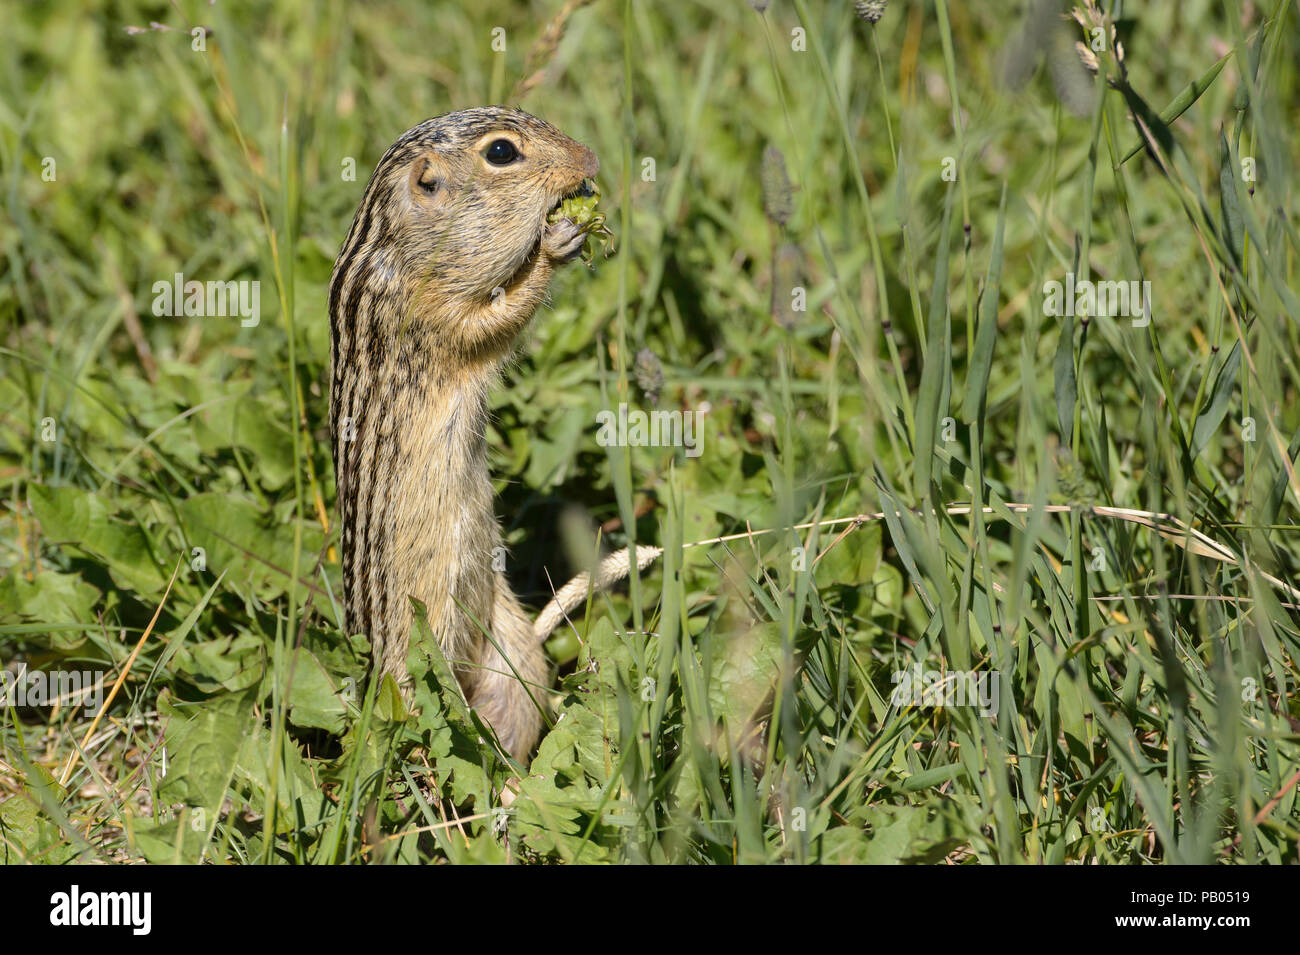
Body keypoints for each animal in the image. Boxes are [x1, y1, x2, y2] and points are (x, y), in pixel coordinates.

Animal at [330, 106, 603, 764]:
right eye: (502, 152)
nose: (590, 158)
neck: (398, 244)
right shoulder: (431, 312)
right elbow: (496, 316)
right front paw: (557, 241)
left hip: (512, 643)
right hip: (418, 661)